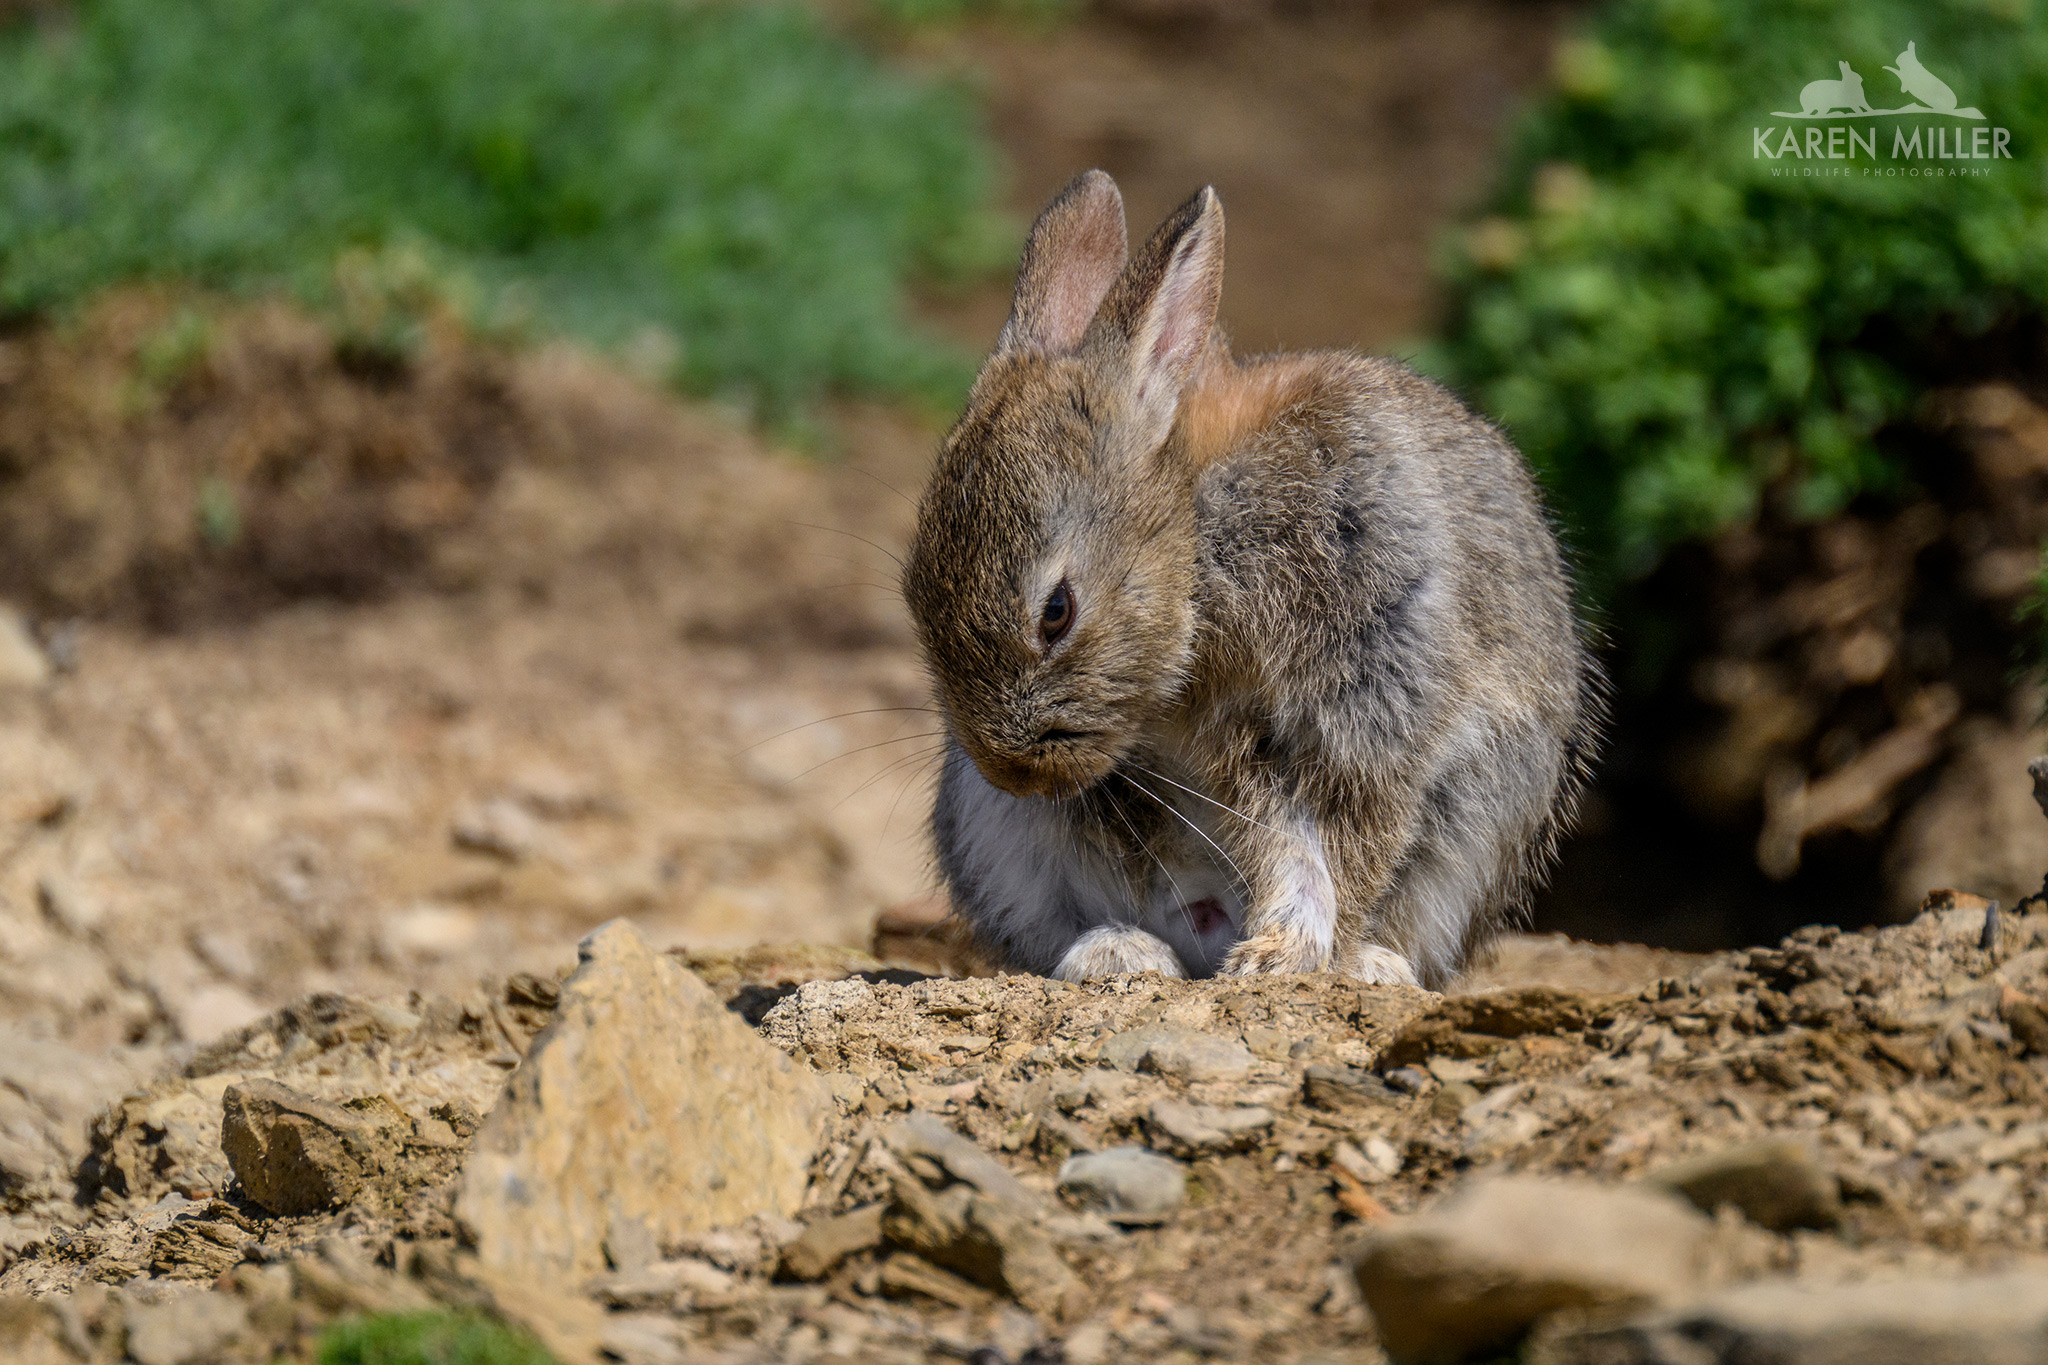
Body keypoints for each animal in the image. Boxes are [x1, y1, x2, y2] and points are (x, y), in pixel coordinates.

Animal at [901, 171, 1602, 989]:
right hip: (995, 835)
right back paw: (1121, 953)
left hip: (1480, 814)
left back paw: (1365, 965)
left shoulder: (1366, 702)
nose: (1012, 772)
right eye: (914, 594)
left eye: (1057, 611)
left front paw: (1288, 955)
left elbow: (1339, 843)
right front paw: (1280, 952)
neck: (1199, 538)